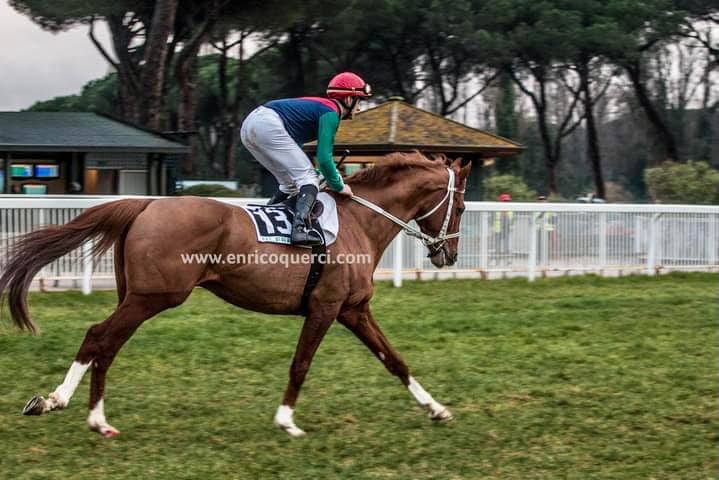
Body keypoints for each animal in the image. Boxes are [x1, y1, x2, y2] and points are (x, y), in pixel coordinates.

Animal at [0, 152, 471, 438]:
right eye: (462, 207)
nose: (448, 254)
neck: (359, 222)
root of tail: (146, 204)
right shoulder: (325, 307)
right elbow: (301, 364)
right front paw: (286, 421)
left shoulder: (353, 309)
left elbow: (395, 360)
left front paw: (437, 408)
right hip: (153, 297)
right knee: (99, 336)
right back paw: (69, 406)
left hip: (135, 296)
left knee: (108, 345)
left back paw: (91, 416)